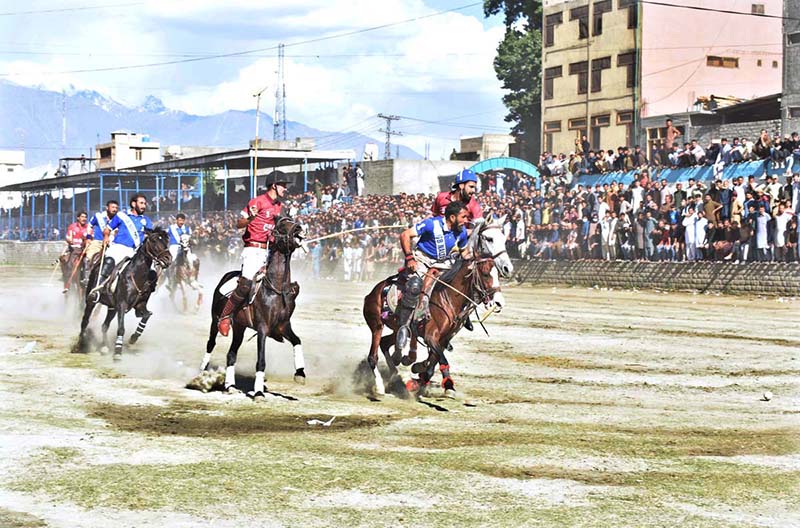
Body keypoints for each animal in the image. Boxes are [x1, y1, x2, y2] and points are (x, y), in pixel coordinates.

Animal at [202, 217, 308, 398]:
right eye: (281, 226)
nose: (299, 228)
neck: (276, 289)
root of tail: (227, 275)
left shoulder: (283, 325)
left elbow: (297, 341)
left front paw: (300, 373)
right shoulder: (263, 327)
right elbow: (261, 360)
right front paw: (258, 392)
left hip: (239, 326)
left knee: (231, 354)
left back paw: (230, 386)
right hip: (214, 319)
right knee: (211, 343)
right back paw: (202, 371)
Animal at [360, 212, 512, 398]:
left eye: (504, 238)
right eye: (489, 238)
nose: (499, 301)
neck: (449, 296)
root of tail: (372, 293)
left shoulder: (444, 338)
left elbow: (433, 363)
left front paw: (419, 378)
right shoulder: (431, 337)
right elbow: (441, 359)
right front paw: (446, 385)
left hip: (395, 328)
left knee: (385, 343)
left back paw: (398, 376)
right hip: (376, 323)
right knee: (373, 355)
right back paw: (380, 387)